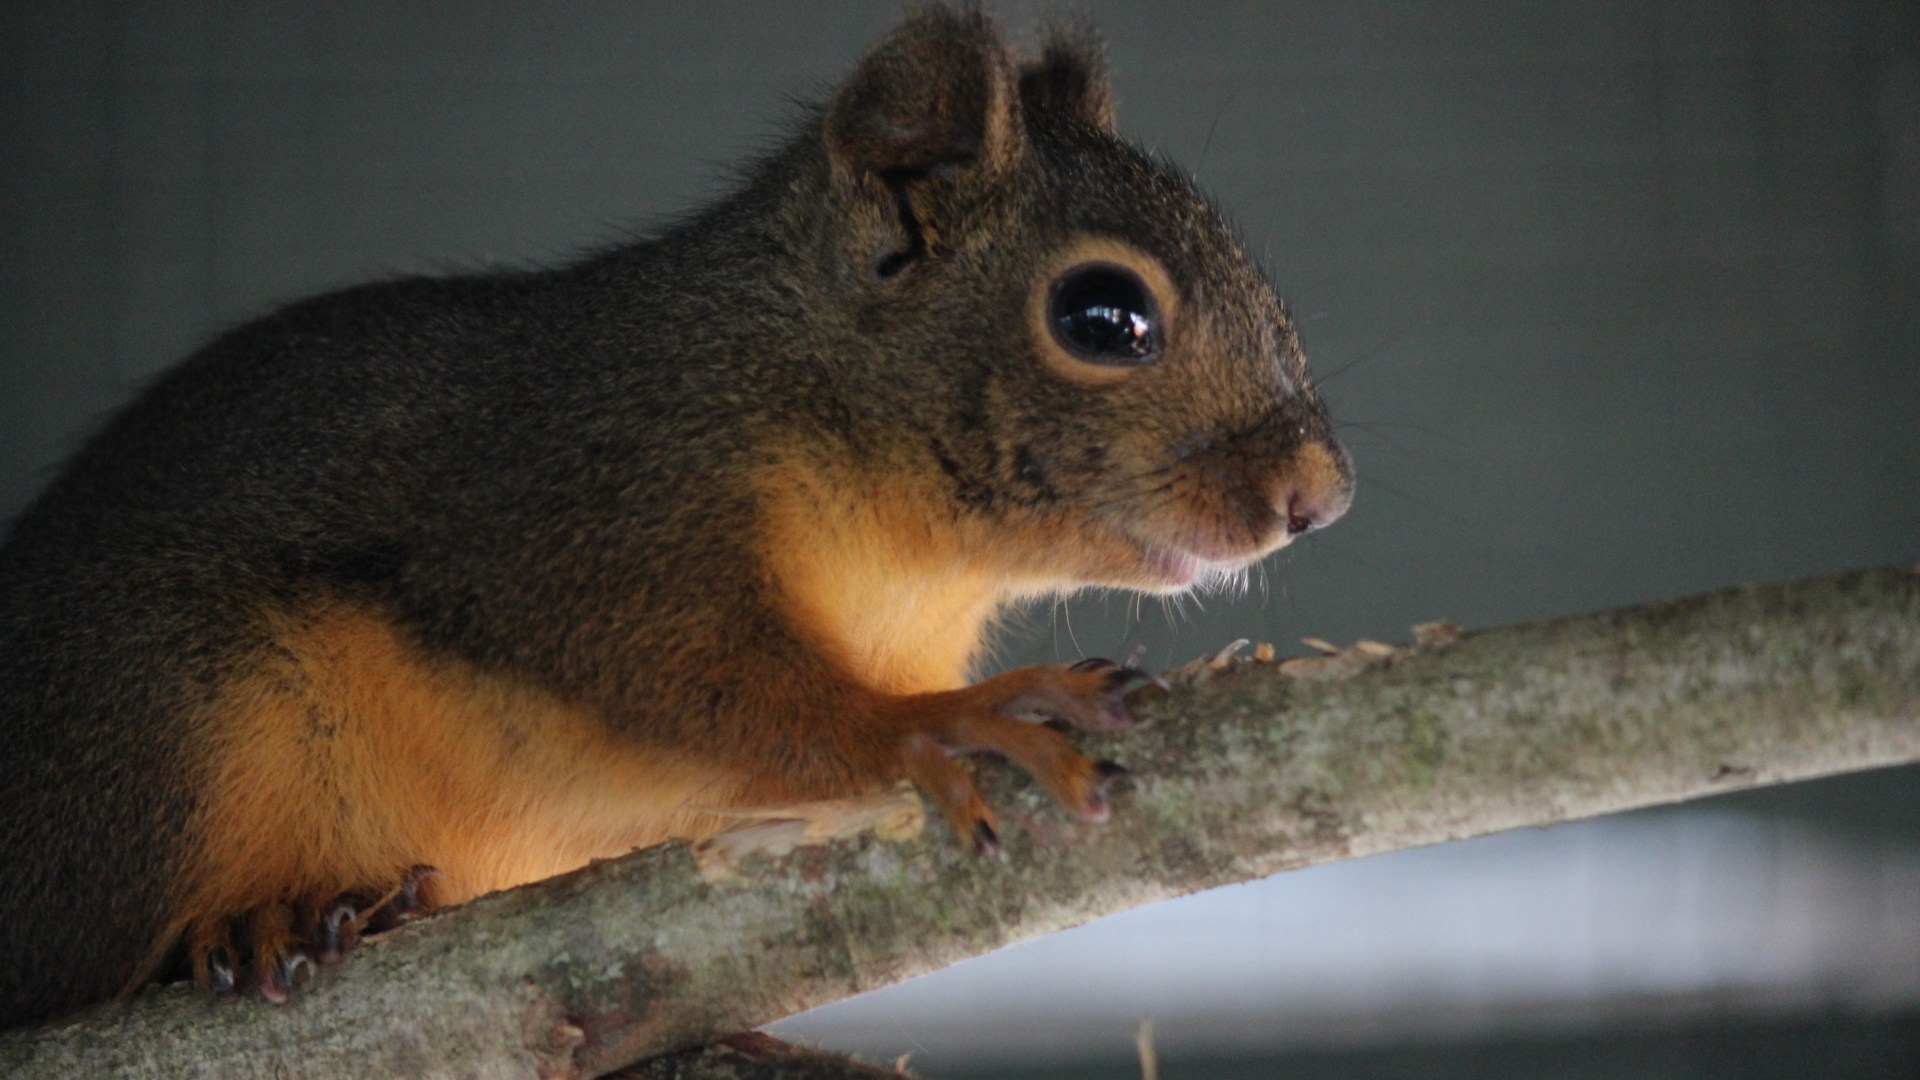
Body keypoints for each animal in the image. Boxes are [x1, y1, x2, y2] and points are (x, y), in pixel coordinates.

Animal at [0, 4, 1351, 1022]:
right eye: (1102, 316)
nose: (1320, 497)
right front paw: (935, 722)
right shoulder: (605, 509)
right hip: (166, 726)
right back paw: (251, 920)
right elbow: (703, 680)